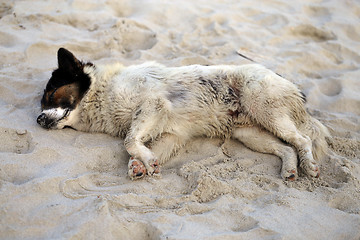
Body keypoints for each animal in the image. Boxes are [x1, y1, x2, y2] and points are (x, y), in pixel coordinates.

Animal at [37, 48, 330, 180]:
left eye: (50, 94)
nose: (38, 120)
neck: (102, 92)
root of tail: (292, 86)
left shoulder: (153, 105)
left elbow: (129, 141)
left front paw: (142, 161)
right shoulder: (172, 135)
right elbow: (141, 147)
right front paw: (141, 164)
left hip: (265, 108)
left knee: (302, 140)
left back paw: (309, 167)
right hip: (249, 132)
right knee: (286, 147)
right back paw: (289, 170)